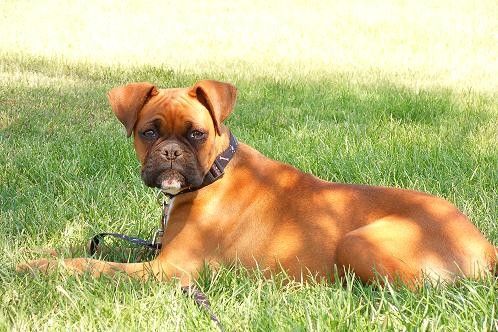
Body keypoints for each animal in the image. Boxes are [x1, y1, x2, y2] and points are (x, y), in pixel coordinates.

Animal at [17, 79, 496, 286]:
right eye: (149, 132)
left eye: (196, 134)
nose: (170, 153)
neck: (215, 172)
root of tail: (484, 243)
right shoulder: (159, 254)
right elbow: (99, 252)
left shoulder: (169, 269)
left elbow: (89, 265)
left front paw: (34, 266)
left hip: (359, 243)